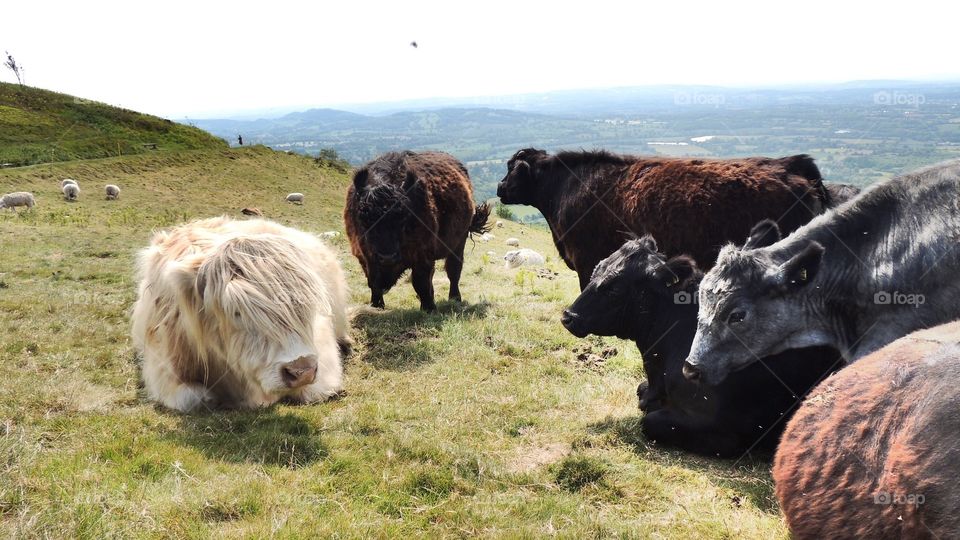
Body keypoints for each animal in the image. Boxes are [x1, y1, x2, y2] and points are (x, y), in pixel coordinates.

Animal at [129, 217, 350, 412]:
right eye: (236, 312)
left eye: (304, 306)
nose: (302, 372)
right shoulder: (162, 365)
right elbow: (194, 399)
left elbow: (315, 389)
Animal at [344, 152, 492, 312]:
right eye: (363, 218)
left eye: (404, 217)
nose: (387, 257)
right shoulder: (364, 256)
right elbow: (373, 282)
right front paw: (376, 305)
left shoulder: (422, 255)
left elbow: (421, 283)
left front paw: (429, 308)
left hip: (458, 243)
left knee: (454, 271)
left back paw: (455, 298)